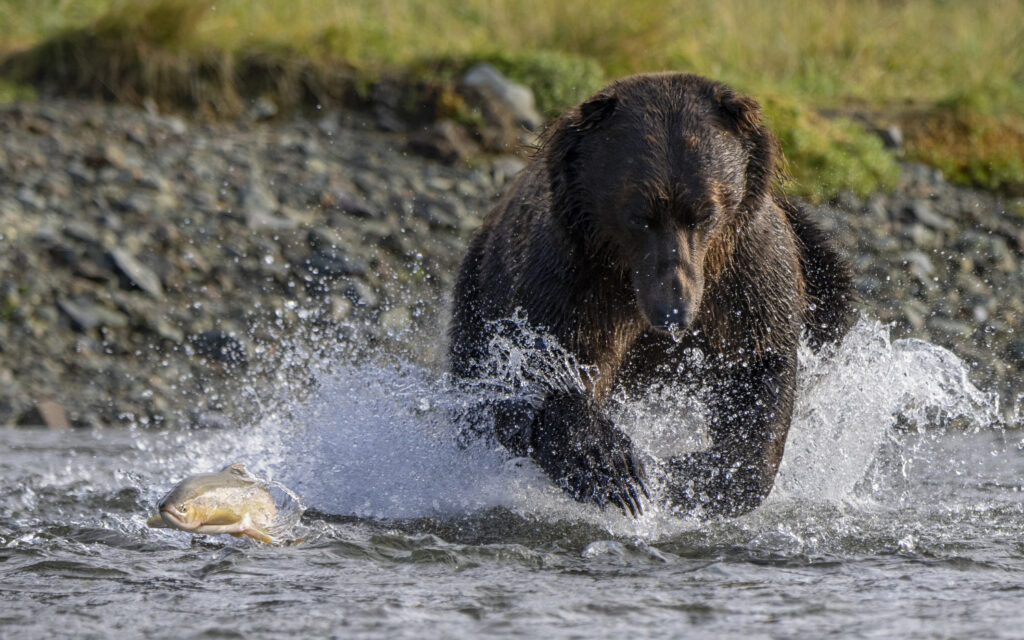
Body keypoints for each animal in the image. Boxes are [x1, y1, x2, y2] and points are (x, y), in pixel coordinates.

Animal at [448, 72, 856, 516]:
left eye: (705, 214)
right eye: (639, 217)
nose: (672, 312)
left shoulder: (743, 276)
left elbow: (759, 367)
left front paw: (690, 476)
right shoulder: (569, 279)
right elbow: (541, 372)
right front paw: (614, 470)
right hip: (478, 287)